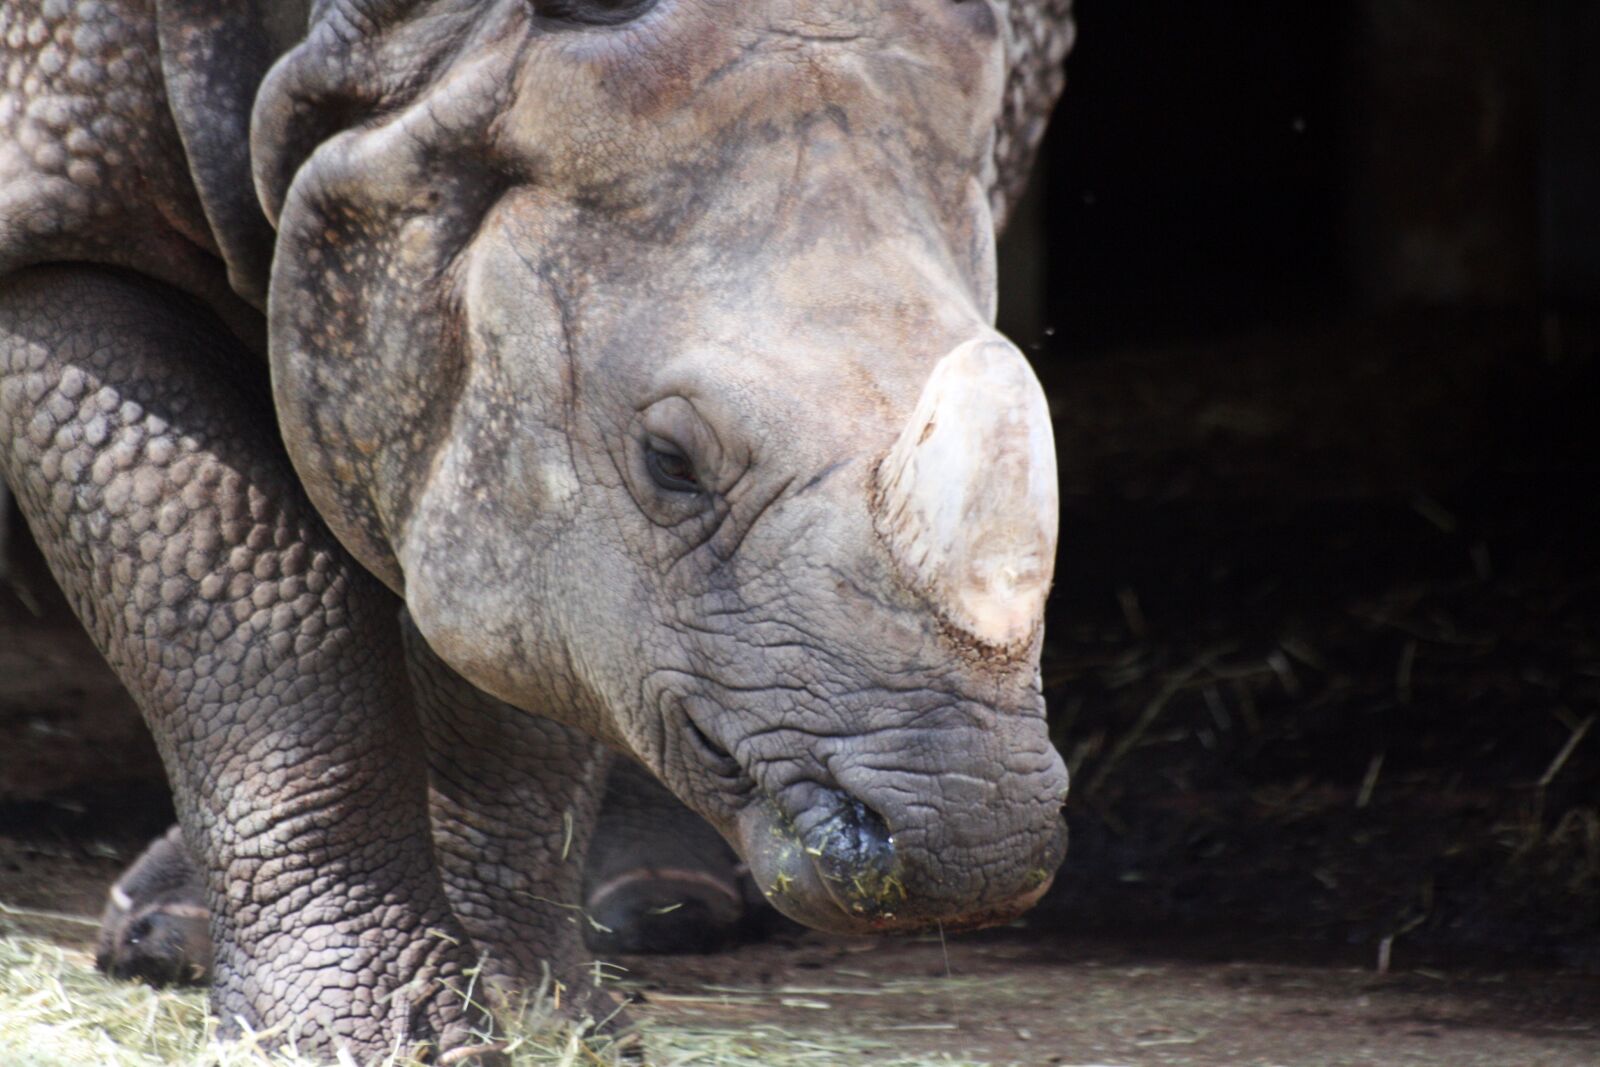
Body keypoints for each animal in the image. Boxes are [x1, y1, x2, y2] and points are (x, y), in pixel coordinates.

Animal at [0, 0, 1074, 1061]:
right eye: (670, 462)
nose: (974, 844)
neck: (406, 47)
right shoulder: (56, 234)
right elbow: (251, 605)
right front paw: (361, 1038)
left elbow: (518, 675)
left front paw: (540, 1016)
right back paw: (171, 942)